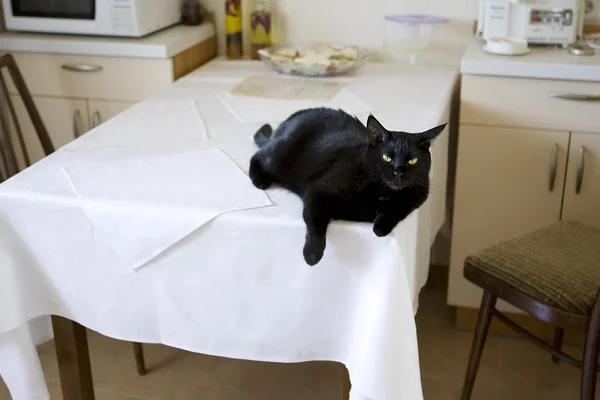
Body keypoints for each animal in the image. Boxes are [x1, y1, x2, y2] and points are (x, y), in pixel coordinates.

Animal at [248, 108, 446, 268]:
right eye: (386, 157)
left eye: (413, 160)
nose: (398, 172)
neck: (383, 192)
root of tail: (292, 118)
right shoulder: (317, 192)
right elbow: (315, 222)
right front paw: (312, 254)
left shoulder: (419, 194)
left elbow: (397, 209)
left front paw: (380, 226)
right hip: (279, 156)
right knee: (258, 155)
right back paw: (260, 180)